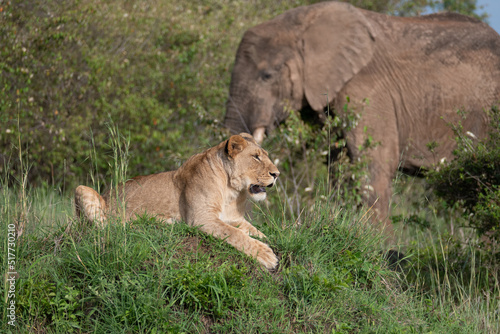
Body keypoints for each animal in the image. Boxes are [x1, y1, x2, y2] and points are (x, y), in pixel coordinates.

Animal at [225, 1, 500, 234]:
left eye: (267, 76)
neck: (304, 23)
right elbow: (339, 166)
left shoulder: (369, 89)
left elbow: (374, 164)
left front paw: (380, 247)